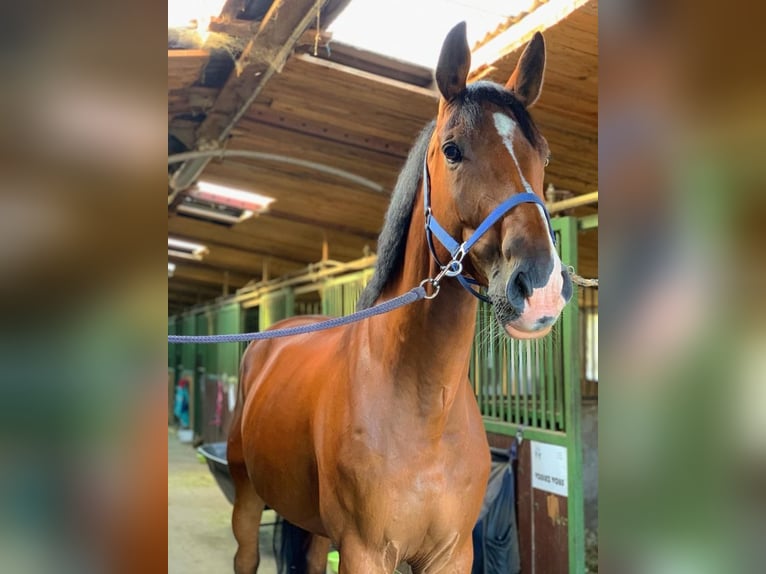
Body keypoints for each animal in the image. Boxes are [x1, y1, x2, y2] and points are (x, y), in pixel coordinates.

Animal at [225, 22, 572, 574]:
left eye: (543, 155)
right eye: (452, 150)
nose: (541, 287)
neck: (424, 412)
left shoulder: (452, 553)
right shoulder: (364, 552)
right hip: (247, 496)